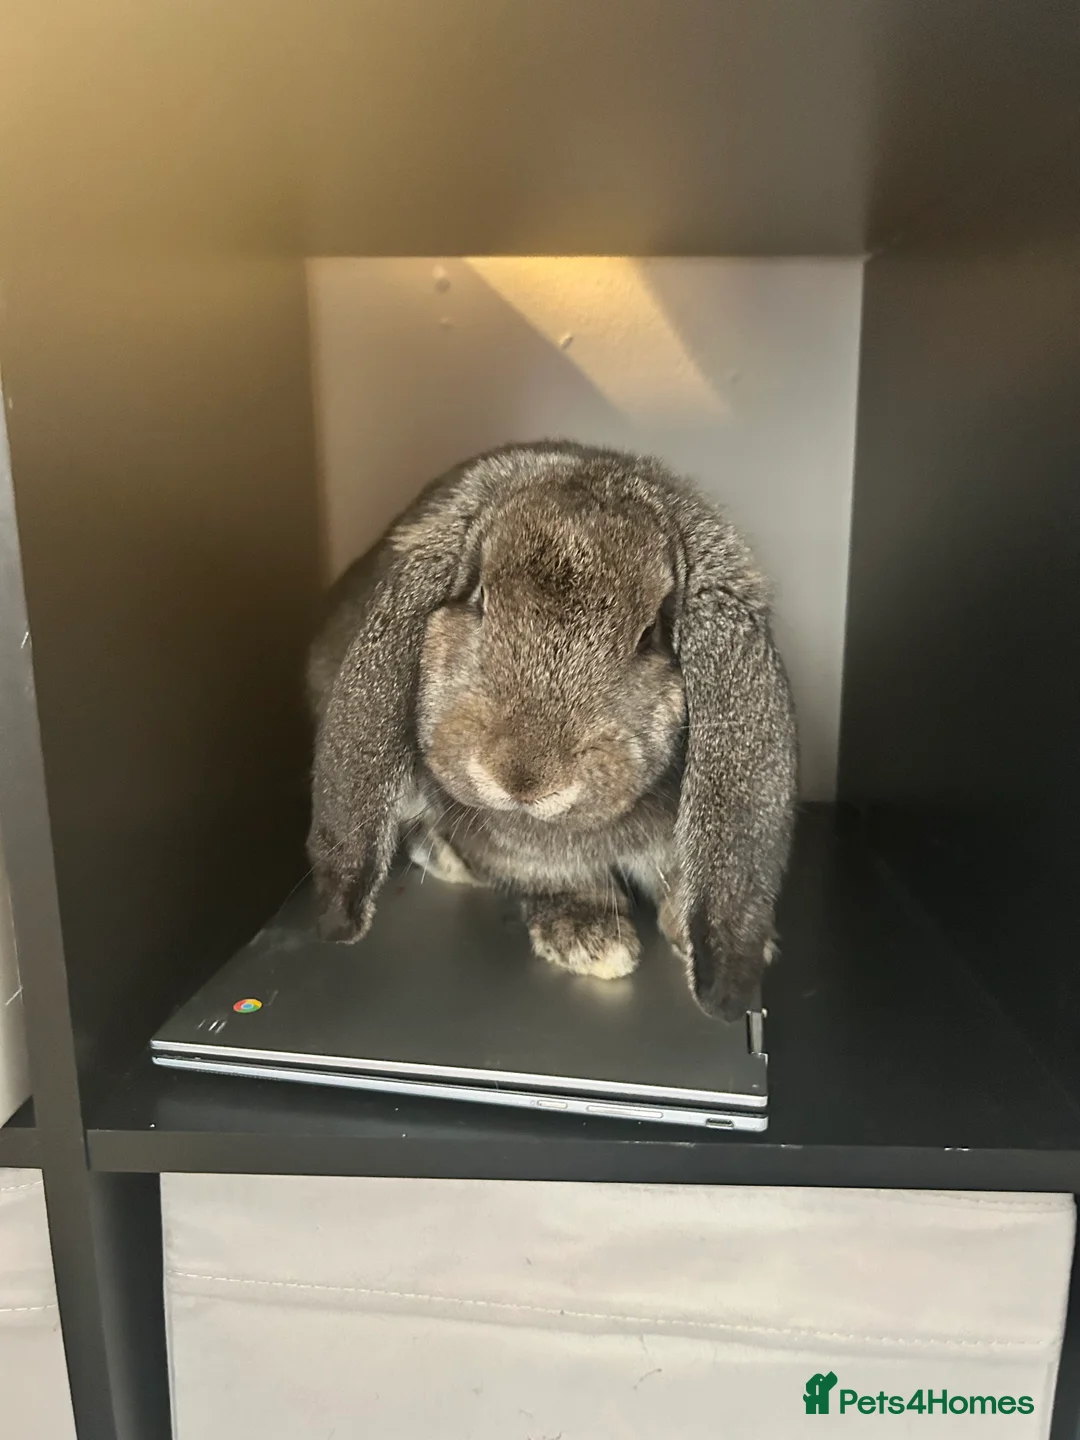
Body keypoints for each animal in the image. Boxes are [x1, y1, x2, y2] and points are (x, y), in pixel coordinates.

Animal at [307, 441, 798, 1020]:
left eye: (649, 634)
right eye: (478, 595)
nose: (522, 778)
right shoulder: (520, 855)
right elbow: (559, 880)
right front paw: (590, 941)